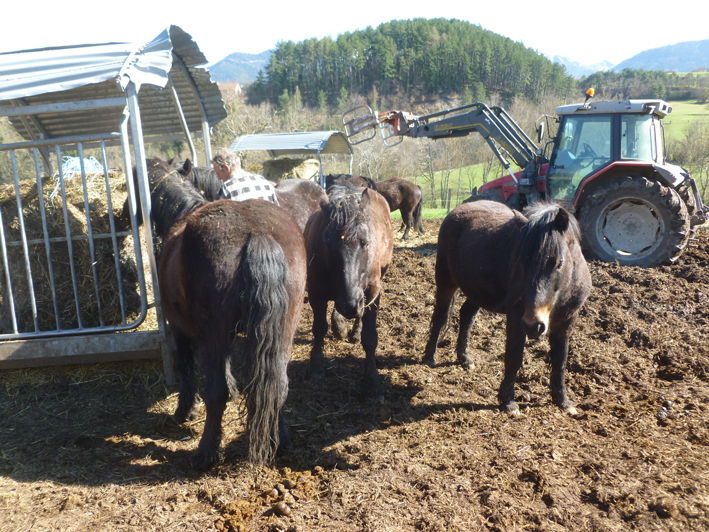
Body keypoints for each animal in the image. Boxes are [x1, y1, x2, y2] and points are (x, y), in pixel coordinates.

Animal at [129, 157, 306, 470]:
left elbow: (187, 370)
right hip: (282, 333)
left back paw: (206, 452)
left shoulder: (180, 329)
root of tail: (257, 232)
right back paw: (280, 441)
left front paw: (184, 411)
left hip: (213, 335)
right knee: (277, 386)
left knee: (216, 392)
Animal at [302, 183, 396, 400]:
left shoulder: (372, 294)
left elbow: (370, 338)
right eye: (327, 243)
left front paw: (372, 381)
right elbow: (319, 328)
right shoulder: (316, 293)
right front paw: (317, 367)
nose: (350, 305)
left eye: (366, 242)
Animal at [424, 200, 588, 416]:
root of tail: (458, 209)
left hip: (477, 291)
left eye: (559, 263)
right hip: (446, 282)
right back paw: (429, 357)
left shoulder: (567, 320)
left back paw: (465, 359)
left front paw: (563, 401)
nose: (534, 325)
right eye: (523, 262)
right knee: (440, 317)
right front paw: (508, 402)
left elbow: (560, 360)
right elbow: (514, 357)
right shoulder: (517, 317)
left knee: (466, 316)